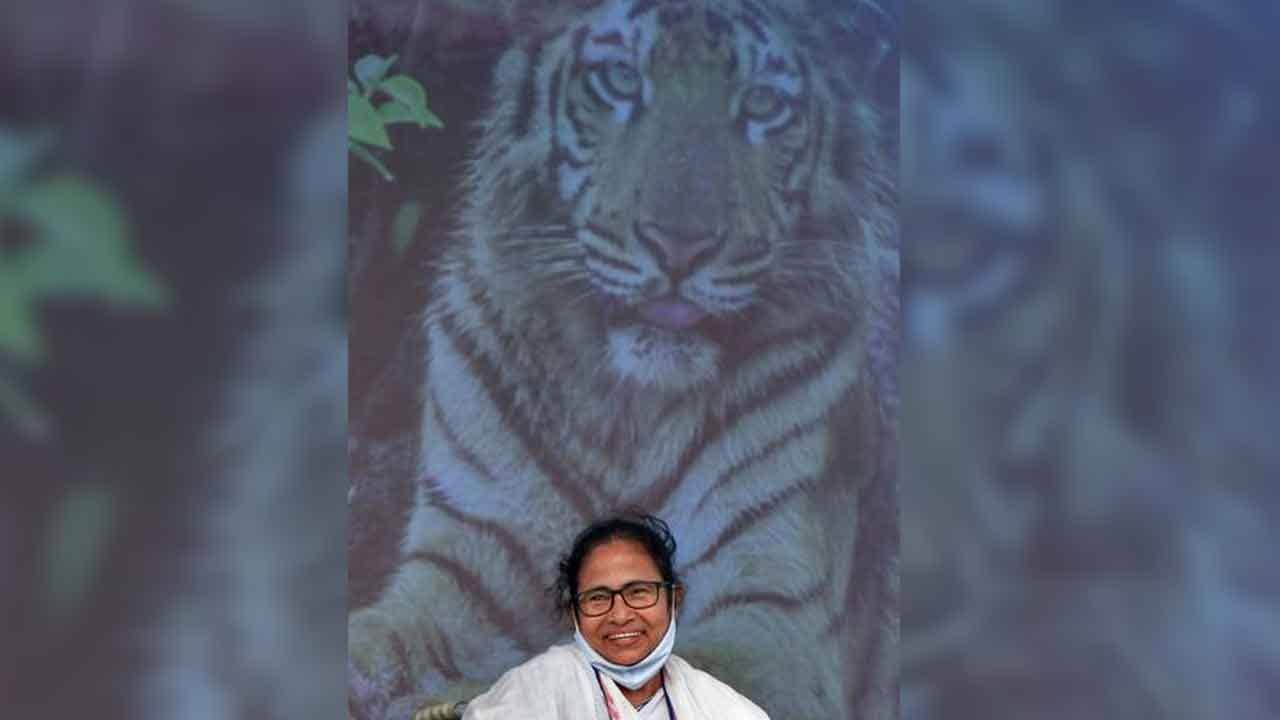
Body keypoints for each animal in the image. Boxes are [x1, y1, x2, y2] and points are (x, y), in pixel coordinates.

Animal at [347, 1, 899, 719]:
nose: (680, 246)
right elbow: (373, 642)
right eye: (619, 81)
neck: (624, 404)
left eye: (761, 103)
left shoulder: (776, 613)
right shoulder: (460, 581)